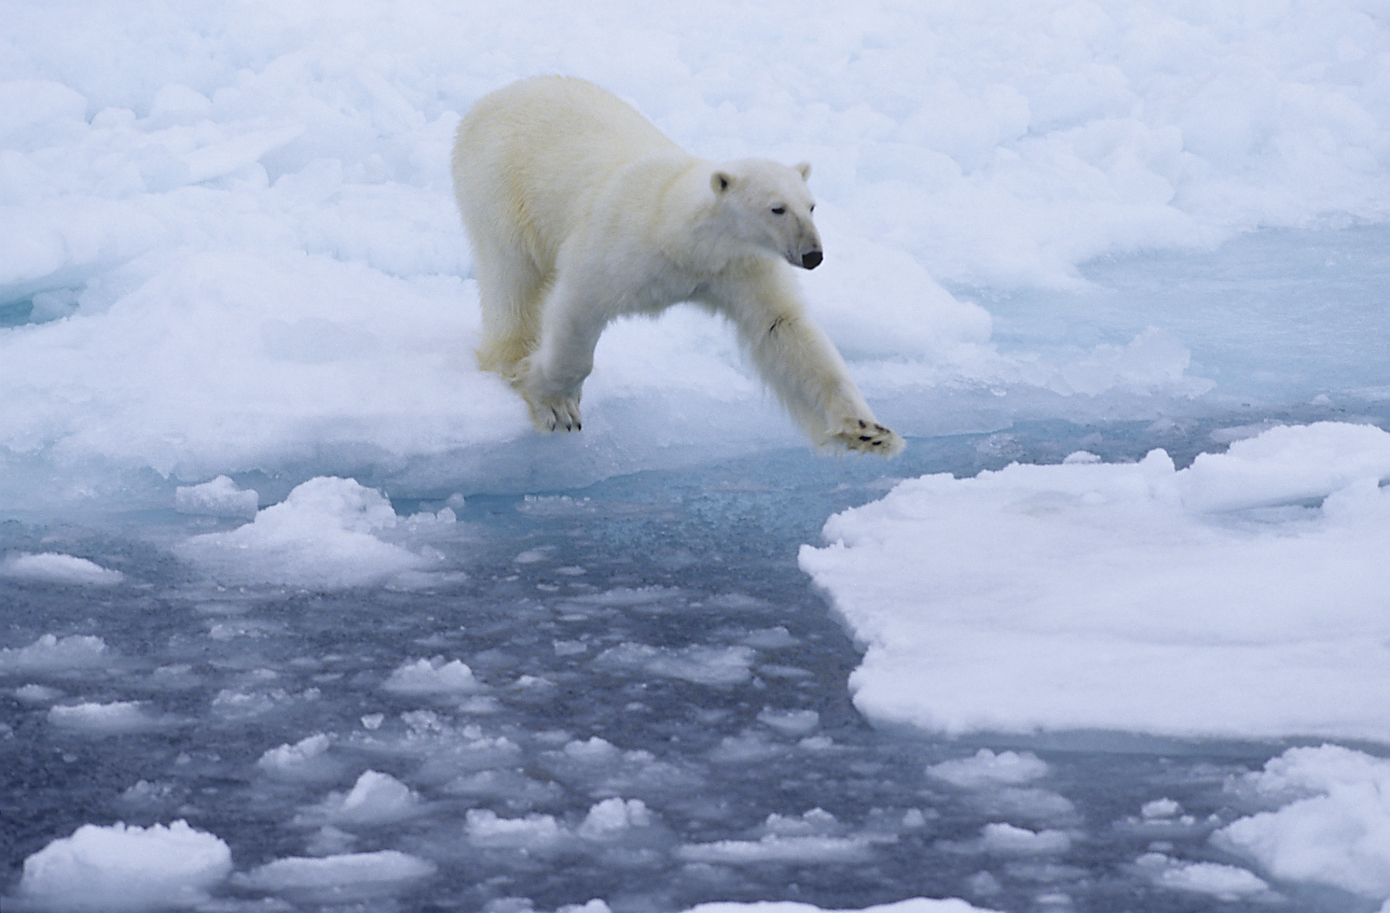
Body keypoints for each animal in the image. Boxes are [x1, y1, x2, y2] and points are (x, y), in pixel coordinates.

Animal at [451, 76, 903, 456]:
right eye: (777, 208)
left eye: (811, 206)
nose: (813, 255)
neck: (683, 237)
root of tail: (490, 99)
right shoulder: (620, 247)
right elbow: (580, 303)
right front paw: (555, 406)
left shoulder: (738, 267)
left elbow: (783, 328)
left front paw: (868, 431)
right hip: (499, 184)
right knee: (513, 278)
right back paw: (508, 359)